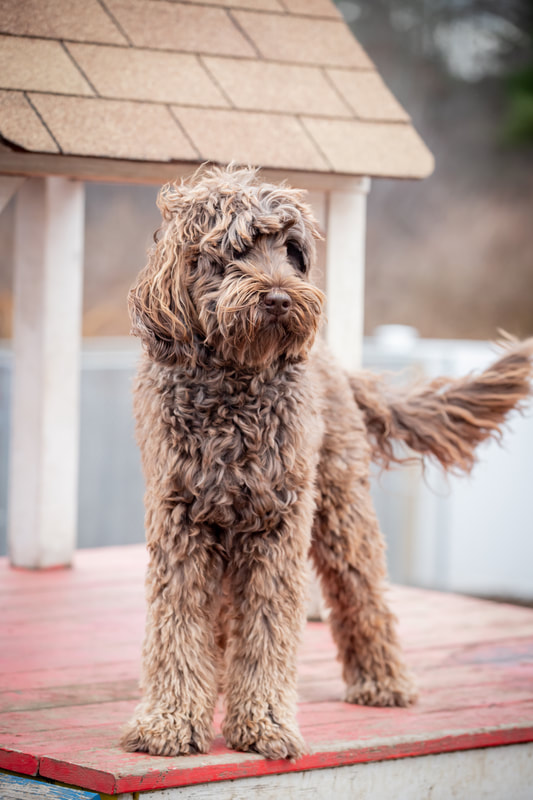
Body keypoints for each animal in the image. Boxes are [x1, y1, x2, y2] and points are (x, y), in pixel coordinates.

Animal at [120, 166, 532, 760]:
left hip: (341, 509)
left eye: (292, 251)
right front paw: (171, 720)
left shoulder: (276, 524)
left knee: (363, 595)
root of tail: (339, 365)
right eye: (233, 251)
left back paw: (383, 681)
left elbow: (268, 629)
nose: (277, 298)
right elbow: (178, 624)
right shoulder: (182, 521)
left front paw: (263, 723)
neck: (234, 385)